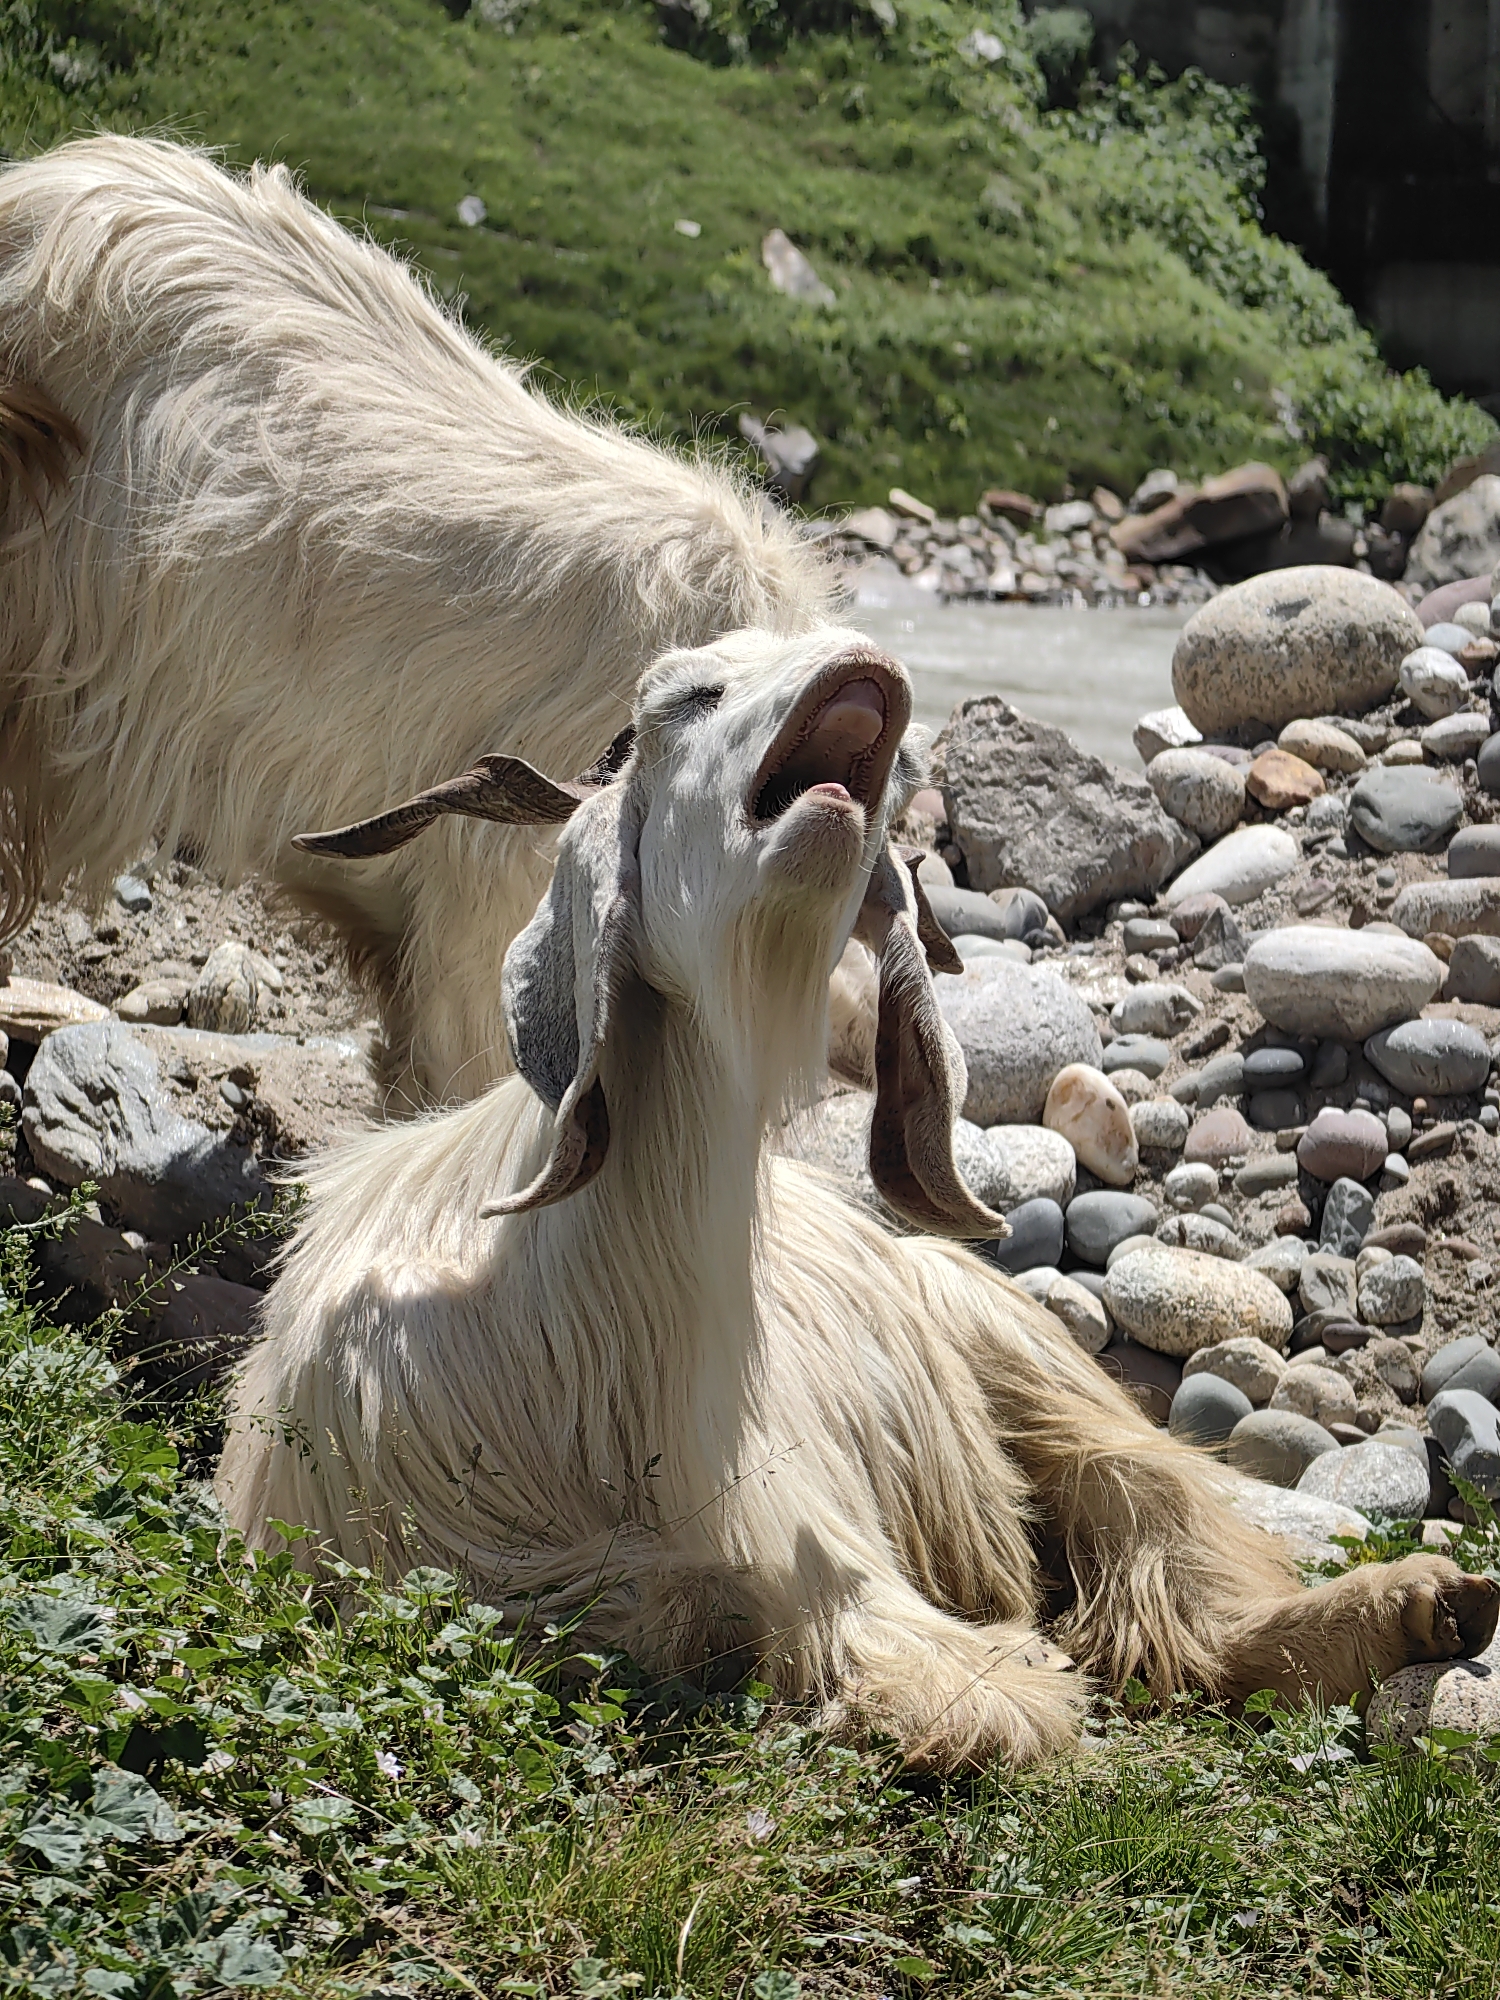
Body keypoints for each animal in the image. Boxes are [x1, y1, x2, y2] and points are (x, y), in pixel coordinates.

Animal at [218, 625, 1497, 1770]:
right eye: (677, 696)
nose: (860, 659)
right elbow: (709, 1615)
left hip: (1012, 1341)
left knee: (1163, 1534)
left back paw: (1423, 1600)